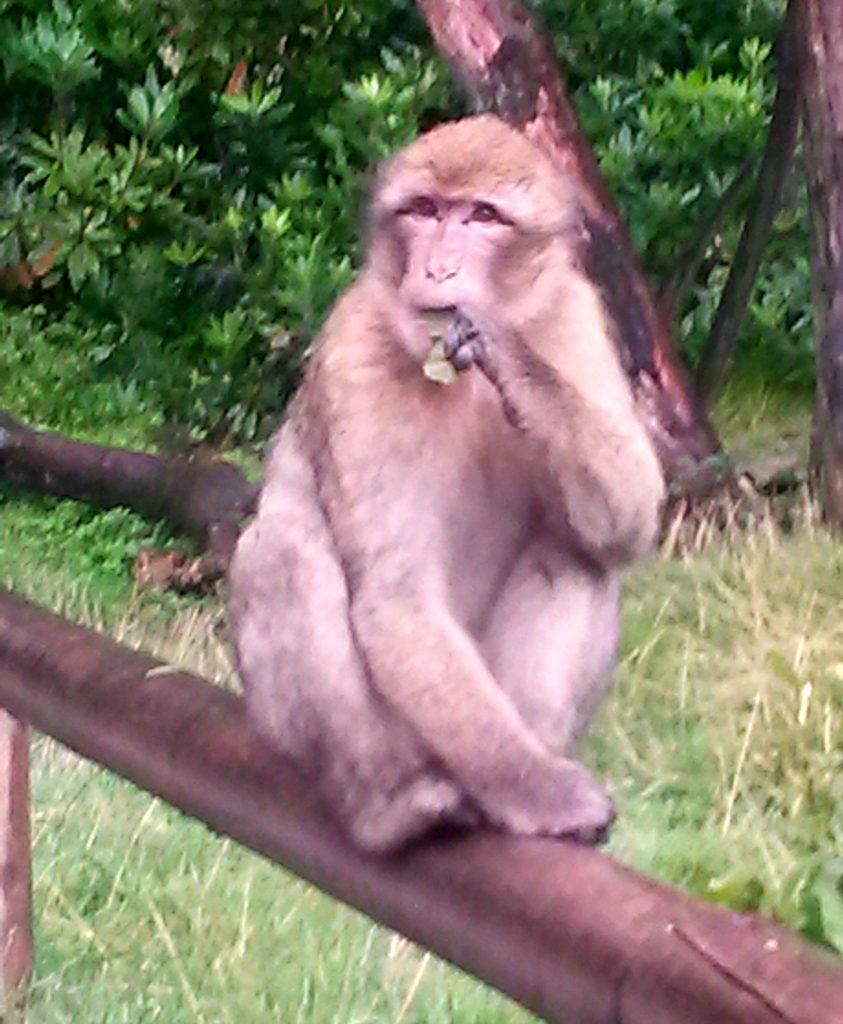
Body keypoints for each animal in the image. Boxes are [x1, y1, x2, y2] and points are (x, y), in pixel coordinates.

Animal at [228, 115, 665, 854]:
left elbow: (628, 521)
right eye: (426, 210)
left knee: (573, 552)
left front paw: (508, 352)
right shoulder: (354, 349)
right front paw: (540, 792)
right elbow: (397, 598)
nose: (437, 268)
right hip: (380, 733)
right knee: (278, 551)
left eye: (482, 216)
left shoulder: (576, 317)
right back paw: (394, 806)